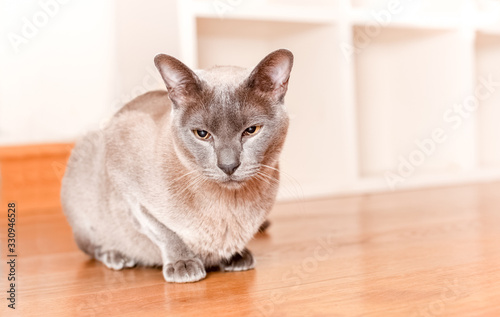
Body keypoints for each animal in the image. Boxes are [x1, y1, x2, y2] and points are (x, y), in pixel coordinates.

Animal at [59, 48, 292, 282]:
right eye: (202, 134)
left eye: (251, 130)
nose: (228, 165)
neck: (230, 205)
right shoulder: (128, 191)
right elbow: (164, 231)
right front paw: (184, 264)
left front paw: (235, 255)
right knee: (91, 246)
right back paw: (116, 256)